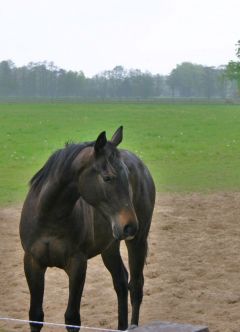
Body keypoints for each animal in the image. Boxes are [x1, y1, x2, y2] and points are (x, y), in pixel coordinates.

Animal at [19, 127, 156, 332]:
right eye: (107, 178)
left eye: (127, 176)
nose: (130, 225)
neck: (50, 217)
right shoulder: (32, 262)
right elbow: (35, 316)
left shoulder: (77, 264)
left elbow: (72, 318)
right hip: (110, 247)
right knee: (121, 282)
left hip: (137, 242)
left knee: (136, 287)